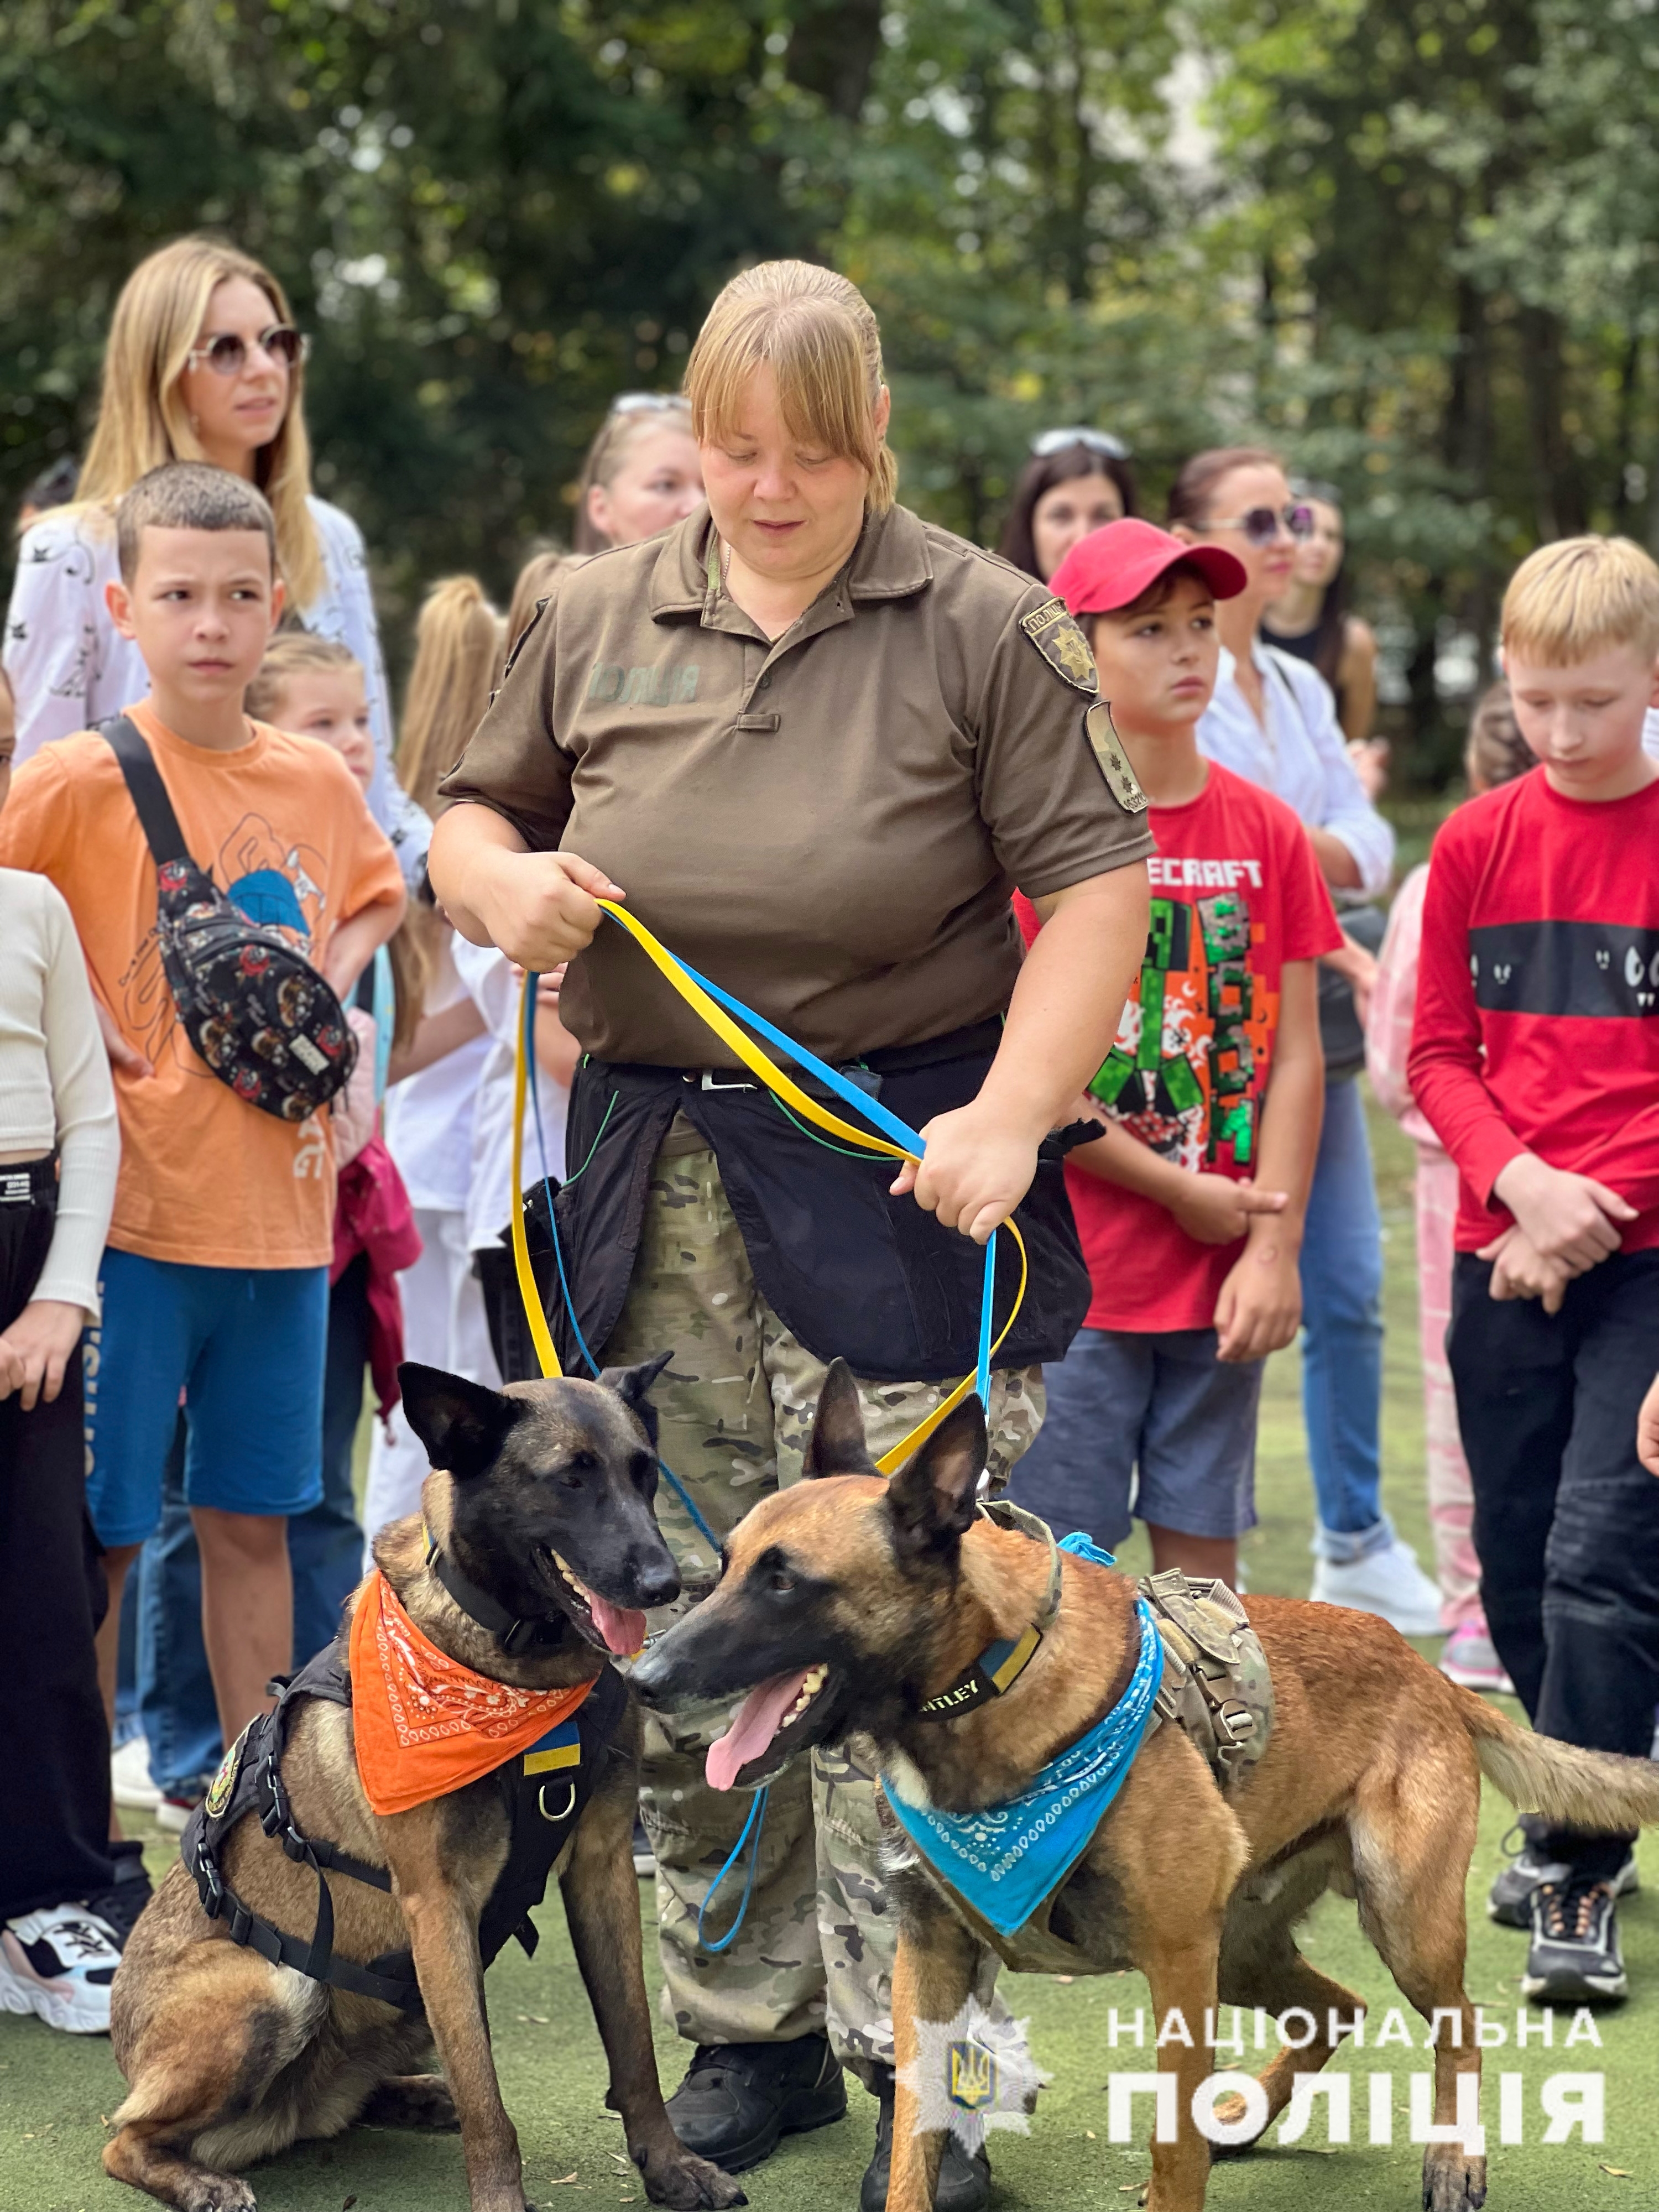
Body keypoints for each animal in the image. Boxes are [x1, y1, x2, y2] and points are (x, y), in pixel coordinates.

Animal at [107, 1354, 743, 2212]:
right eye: (570, 1480)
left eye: (645, 1474)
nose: (664, 1582)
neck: (519, 1669)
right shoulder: (438, 1905)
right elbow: (486, 2095)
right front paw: (503, 2200)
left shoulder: (603, 1868)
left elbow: (633, 2044)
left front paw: (670, 2166)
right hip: (275, 1988)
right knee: (125, 2136)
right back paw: (202, 2179)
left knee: (337, 2103)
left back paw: (406, 2095)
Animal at [633, 1363, 1659, 2212]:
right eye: (724, 1568)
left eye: (784, 1584)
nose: (642, 1677)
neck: (991, 1678)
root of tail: (1427, 1671)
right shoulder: (931, 1959)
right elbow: (914, 2144)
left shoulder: (1173, 1962)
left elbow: (1173, 2150)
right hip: (1242, 1951)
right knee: (1338, 2008)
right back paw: (1250, 2116)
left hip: (1399, 1920)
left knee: (1458, 2028)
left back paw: (1455, 2159)